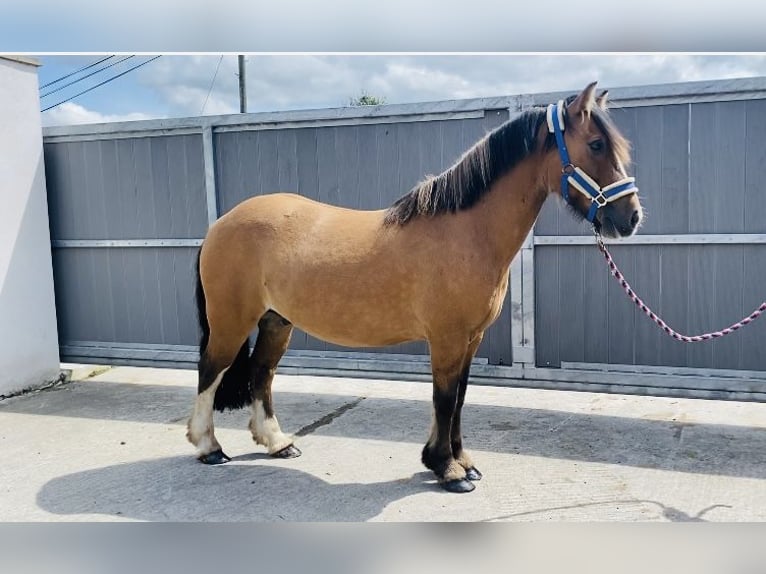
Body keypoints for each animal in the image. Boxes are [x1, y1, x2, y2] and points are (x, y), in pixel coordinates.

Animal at [189, 82, 644, 496]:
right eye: (597, 144)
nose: (631, 217)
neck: (466, 232)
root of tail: (221, 224)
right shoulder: (446, 338)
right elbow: (444, 399)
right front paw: (448, 470)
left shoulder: (471, 339)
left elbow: (459, 398)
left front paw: (459, 461)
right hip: (231, 322)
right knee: (211, 371)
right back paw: (208, 447)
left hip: (276, 322)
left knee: (261, 375)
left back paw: (277, 443)